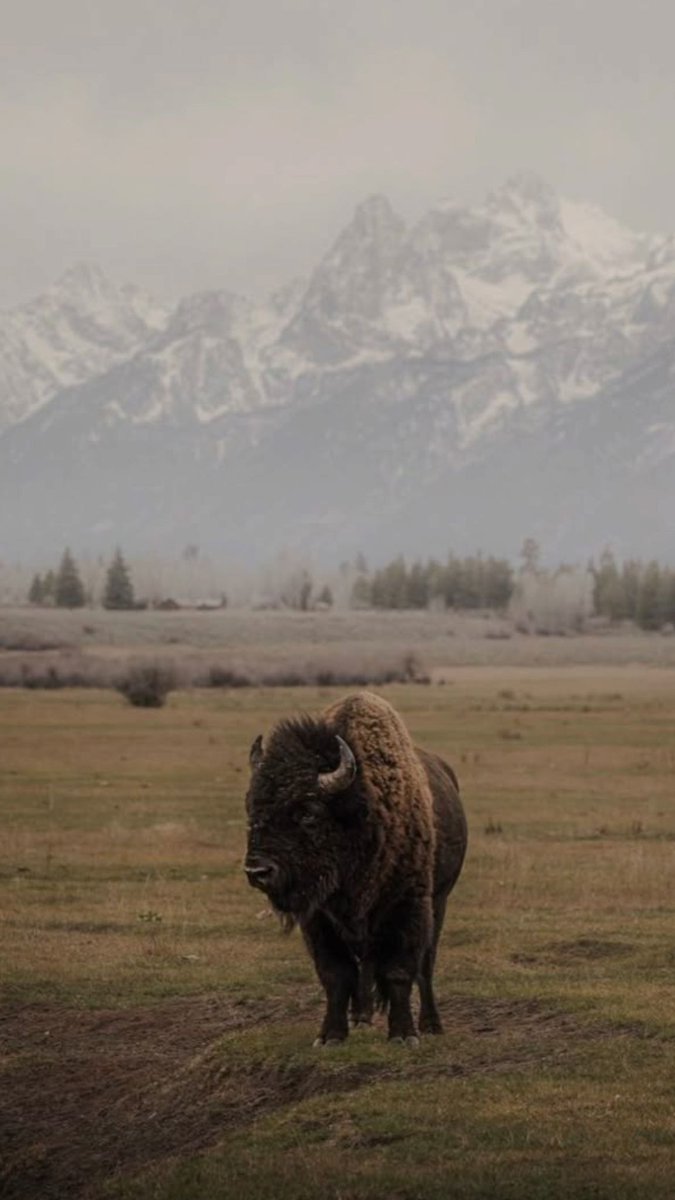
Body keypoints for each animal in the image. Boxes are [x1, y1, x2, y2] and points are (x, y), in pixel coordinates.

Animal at [244, 691, 467, 1045]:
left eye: (308, 812)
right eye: (251, 809)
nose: (257, 871)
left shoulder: (407, 907)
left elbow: (400, 971)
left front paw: (404, 1035)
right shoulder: (319, 919)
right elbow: (336, 974)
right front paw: (330, 1036)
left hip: (440, 900)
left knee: (426, 964)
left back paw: (431, 1023)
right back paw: (361, 1016)